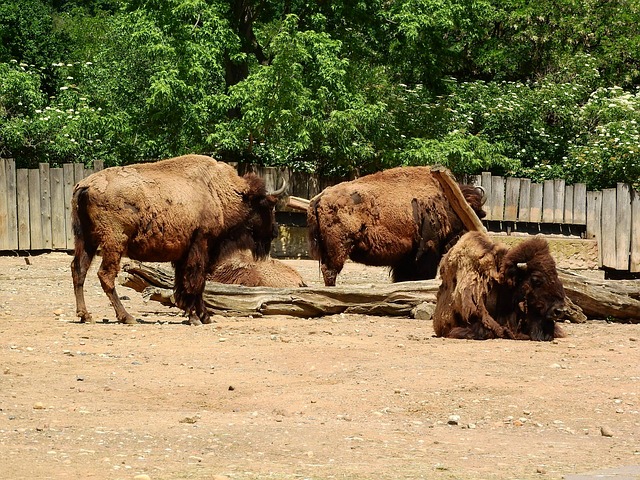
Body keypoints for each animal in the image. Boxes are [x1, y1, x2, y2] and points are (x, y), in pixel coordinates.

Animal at [71, 154, 284, 326]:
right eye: (267, 206)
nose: (274, 231)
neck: (219, 194)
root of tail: (85, 185)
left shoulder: (184, 254)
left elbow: (185, 283)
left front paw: (200, 315)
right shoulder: (201, 246)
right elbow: (196, 282)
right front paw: (197, 317)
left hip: (86, 240)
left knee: (79, 270)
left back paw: (85, 316)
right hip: (114, 242)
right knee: (105, 275)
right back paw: (127, 317)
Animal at [307, 166, 486, 286]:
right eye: (473, 211)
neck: (446, 202)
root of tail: (320, 197)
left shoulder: (405, 258)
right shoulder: (428, 249)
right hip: (338, 248)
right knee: (330, 271)